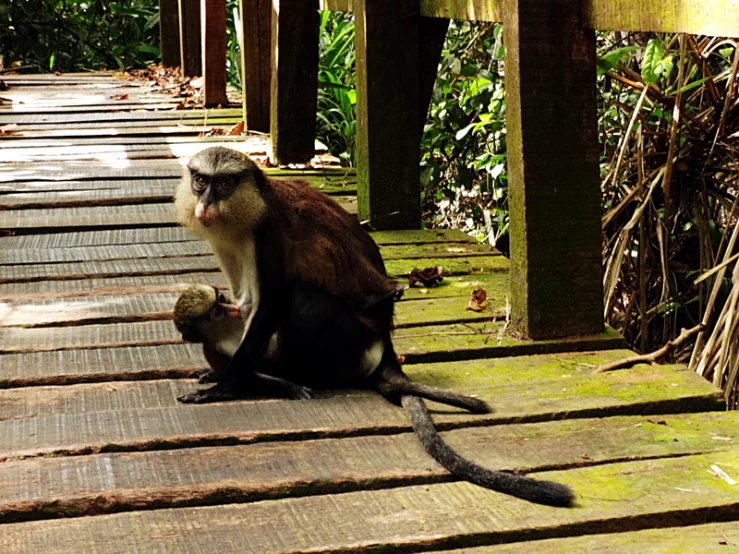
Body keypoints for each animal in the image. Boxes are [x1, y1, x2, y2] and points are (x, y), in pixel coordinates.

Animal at [176, 146, 576, 504]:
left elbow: (270, 303)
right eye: (200, 181)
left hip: (348, 340)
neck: (247, 214)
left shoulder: (266, 236)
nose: (205, 204)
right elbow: (242, 303)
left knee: (302, 297)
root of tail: (385, 344)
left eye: (224, 184)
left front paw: (227, 386)